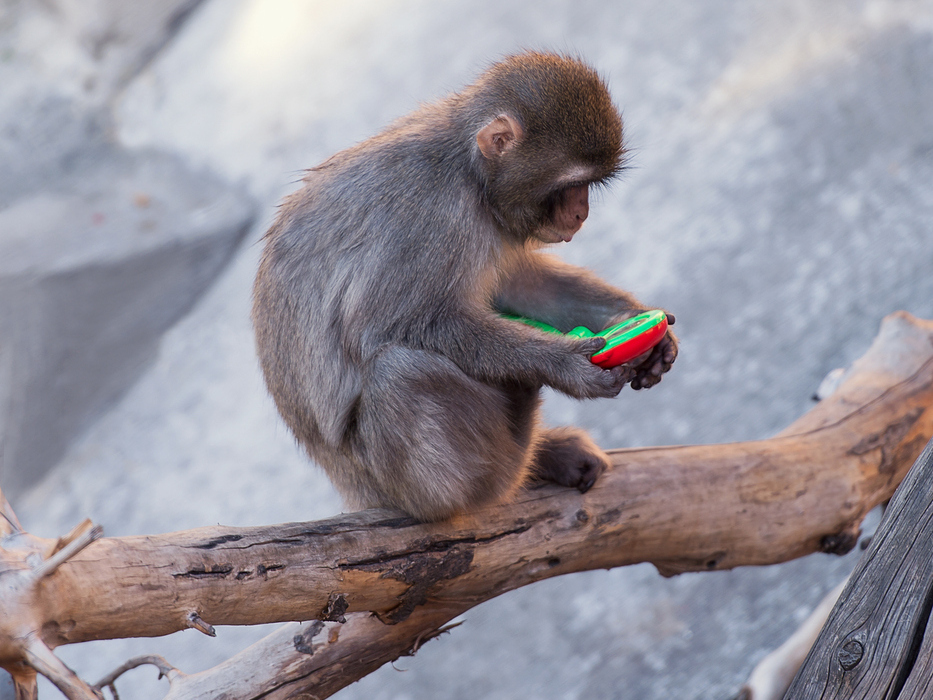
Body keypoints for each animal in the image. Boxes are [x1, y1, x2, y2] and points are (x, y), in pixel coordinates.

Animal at [252, 52, 677, 522]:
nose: (581, 212)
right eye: (571, 185)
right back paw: (509, 461)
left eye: (587, 187)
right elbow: (394, 326)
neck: (470, 174)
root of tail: (358, 492)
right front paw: (563, 365)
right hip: (404, 487)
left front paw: (638, 322)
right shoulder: (429, 217)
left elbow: (520, 284)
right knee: (399, 371)